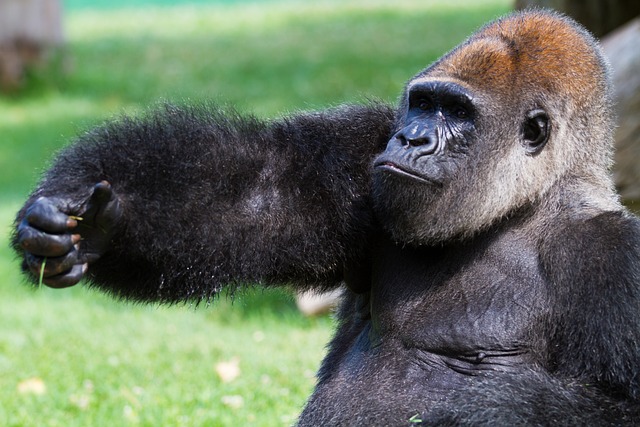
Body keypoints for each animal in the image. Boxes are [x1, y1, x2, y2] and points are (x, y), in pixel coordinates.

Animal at [8, 8, 640, 426]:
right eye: (422, 104)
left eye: (458, 114)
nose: (411, 139)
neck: (521, 209)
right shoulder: (368, 146)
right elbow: (262, 190)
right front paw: (92, 226)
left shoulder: (619, 262)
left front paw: (483, 407)